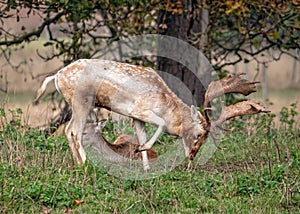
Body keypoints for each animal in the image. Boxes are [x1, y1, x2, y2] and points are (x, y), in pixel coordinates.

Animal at [33, 58, 270, 171]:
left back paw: (77, 163)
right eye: (198, 134)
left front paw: (145, 165)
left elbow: (142, 136)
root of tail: (57, 75)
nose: (192, 156)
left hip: (76, 104)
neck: (167, 104)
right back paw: (84, 164)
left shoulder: (136, 118)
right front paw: (142, 149)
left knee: (67, 129)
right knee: (74, 130)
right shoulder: (139, 110)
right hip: (82, 101)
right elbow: (161, 125)